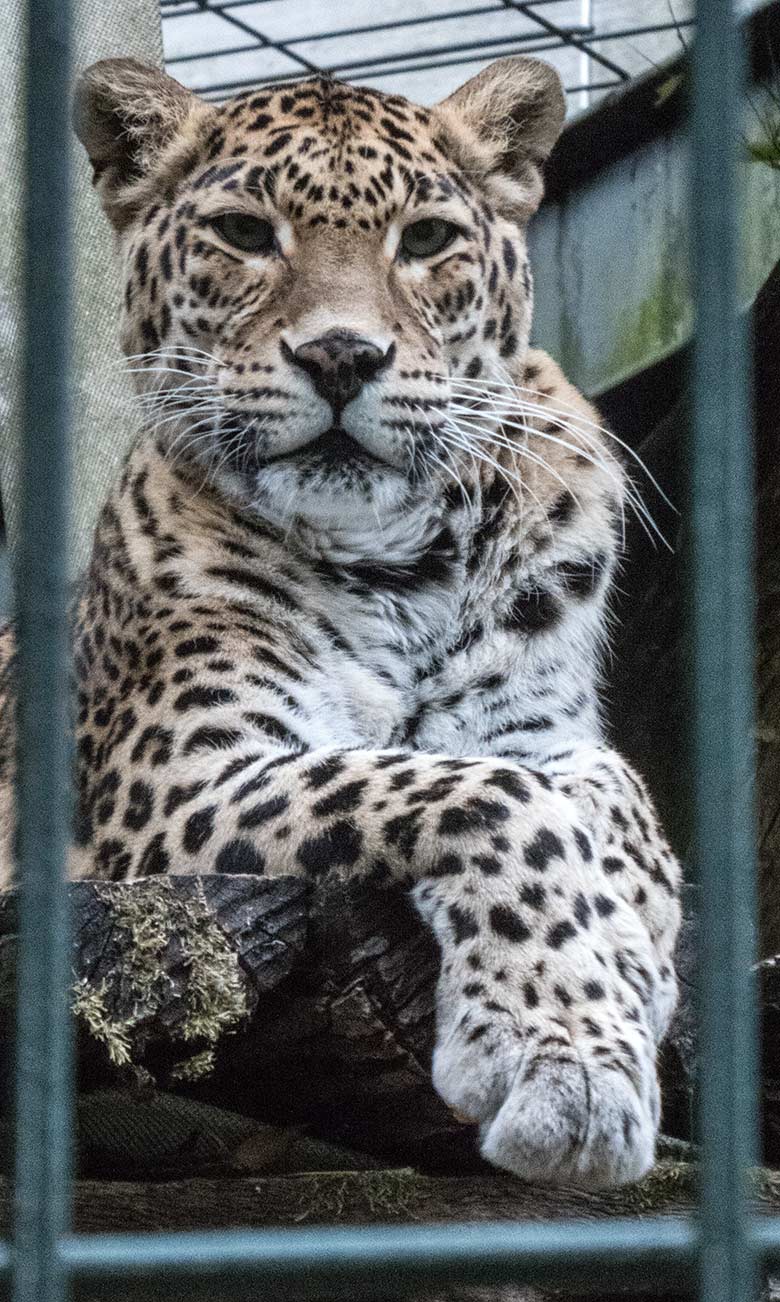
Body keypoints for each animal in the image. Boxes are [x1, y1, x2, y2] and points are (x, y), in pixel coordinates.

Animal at [0, 50, 682, 1192]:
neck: (403, 562)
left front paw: (630, 942)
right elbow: (493, 798)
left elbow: (612, 791)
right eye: (242, 233)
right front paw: (567, 1060)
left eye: (427, 240)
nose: (341, 357)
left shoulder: (537, 725)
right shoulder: (178, 789)